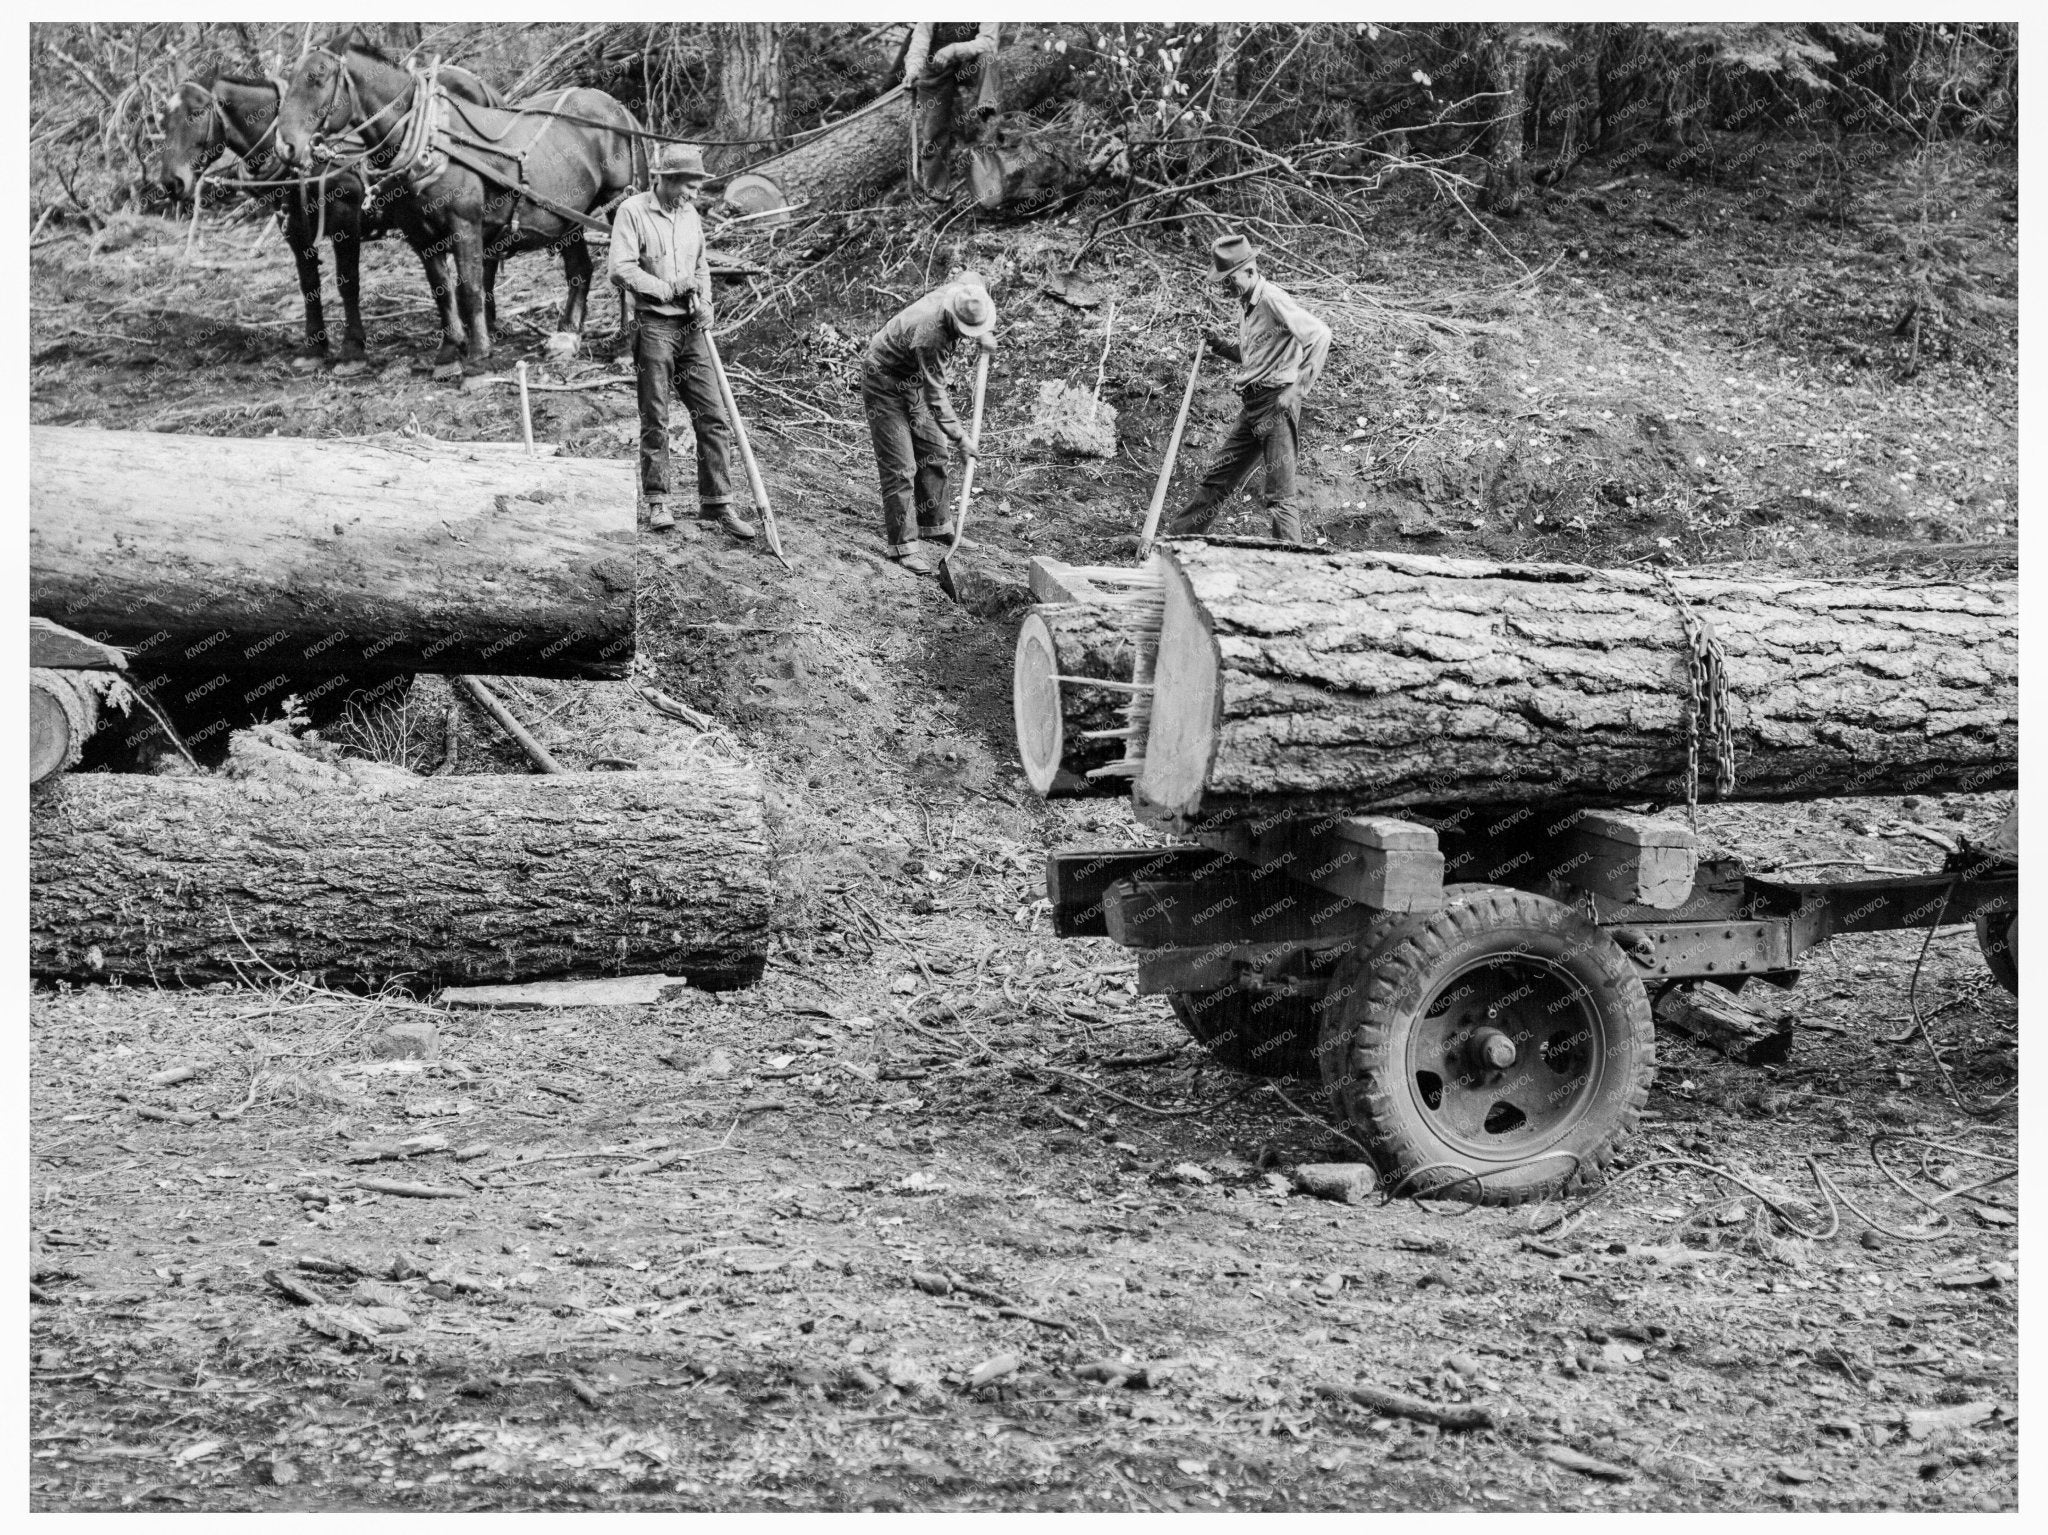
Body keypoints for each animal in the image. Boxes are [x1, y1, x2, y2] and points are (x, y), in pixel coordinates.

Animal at [274, 34, 638, 376]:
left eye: (317, 76)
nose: (285, 147)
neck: (427, 140)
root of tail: (617, 107)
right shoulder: (420, 236)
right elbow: (441, 290)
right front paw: (449, 353)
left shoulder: (464, 225)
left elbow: (470, 289)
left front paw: (478, 358)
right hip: (565, 214)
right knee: (580, 269)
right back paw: (567, 337)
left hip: (620, 201)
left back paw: (624, 347)